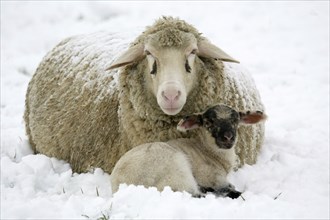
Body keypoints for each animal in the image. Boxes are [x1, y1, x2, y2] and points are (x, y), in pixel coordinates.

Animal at [110, 104, 266, 199]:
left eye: (236, 121)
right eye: (208, 122)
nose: (228, 137)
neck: (209, 152)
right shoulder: (212, 177)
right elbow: (229, 189)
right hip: (176, 171)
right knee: (194, 194)